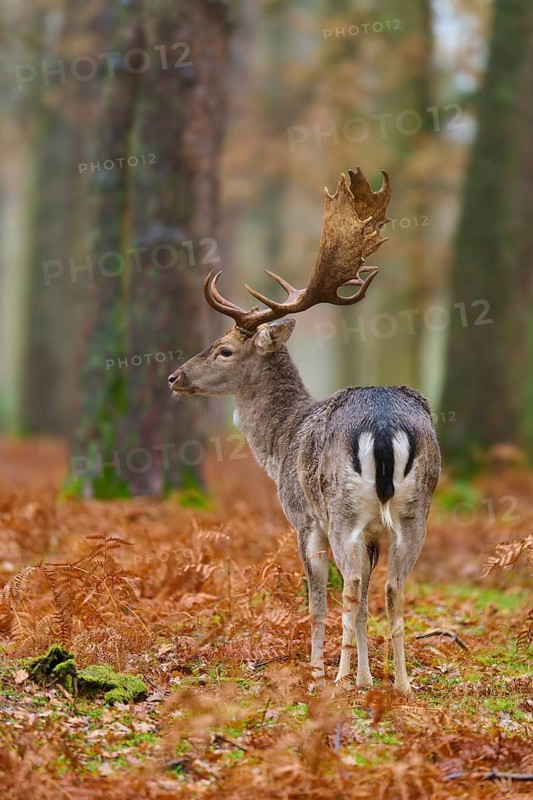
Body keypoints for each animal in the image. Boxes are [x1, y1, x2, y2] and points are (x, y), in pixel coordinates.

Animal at [168, 168, 441, 694]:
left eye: (225, 349)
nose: (174, 377)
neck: (280, 440)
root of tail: (383, 426)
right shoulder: (375, 533)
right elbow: (367, 602)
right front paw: (367, 676)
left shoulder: (301, 518)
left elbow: (316, 600)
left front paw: (321, 670)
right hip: (415, 511)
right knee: (394, 587)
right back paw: (400, 685)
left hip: (341, 511)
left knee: (349, 587)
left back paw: (339, 677)